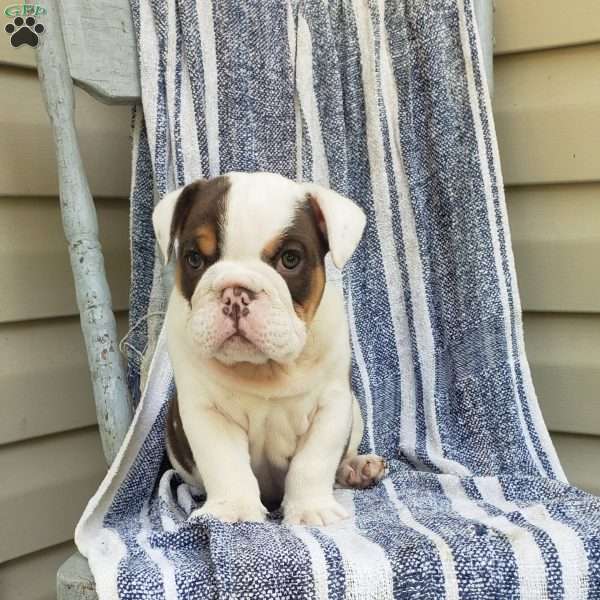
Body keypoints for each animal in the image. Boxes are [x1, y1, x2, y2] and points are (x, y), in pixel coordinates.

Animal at [151, 170, 384, 524]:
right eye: (194, 259)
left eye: (290, 259)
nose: (235, 292)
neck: (265, 368)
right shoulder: (207, 412)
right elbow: (225, 462)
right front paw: (234, 510)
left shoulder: (331, 406)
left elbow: (313, 462)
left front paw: (311, 510)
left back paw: (357, 467)